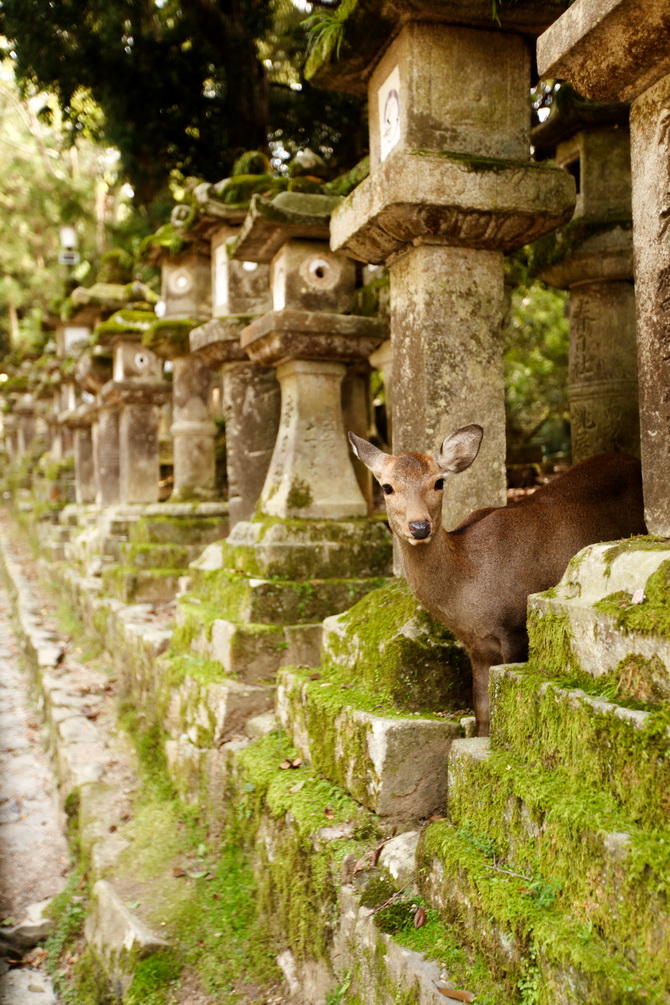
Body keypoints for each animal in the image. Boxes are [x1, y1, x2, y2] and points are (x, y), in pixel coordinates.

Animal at [349, 424, 646, 739]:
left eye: (438, 482)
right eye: (387, 487)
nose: (419, 527)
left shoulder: (515, 628)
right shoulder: (476, 647)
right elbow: (483, 712)